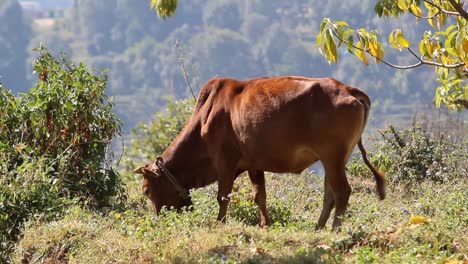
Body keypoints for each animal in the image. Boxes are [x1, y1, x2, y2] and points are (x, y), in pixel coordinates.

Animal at [133, 76, 386, 229]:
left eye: (146, 191)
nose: (158, 218)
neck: (205, 117)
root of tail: (349, 90)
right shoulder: (253, 164)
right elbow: (259, 196)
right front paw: (266, 223)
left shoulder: (224, 161)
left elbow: (222, 196)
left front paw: (219, 222)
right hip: (334, 159)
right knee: (330, 194)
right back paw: (318, 227)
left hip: (333, 156)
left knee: (342, 192)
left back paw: (334, 229)